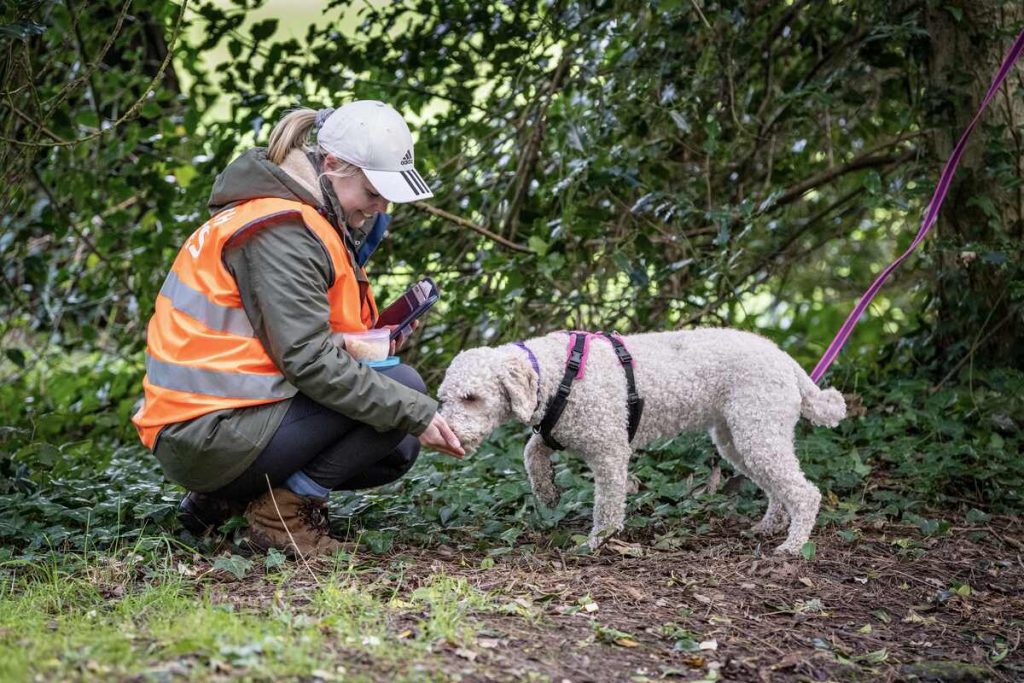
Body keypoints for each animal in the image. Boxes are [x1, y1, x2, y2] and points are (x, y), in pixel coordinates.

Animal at [436, 329, 843, 557]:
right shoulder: (558, 430)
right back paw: (769, 526)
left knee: (805, 493)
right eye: (443, 399)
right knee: (777, 488)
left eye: (471, 397)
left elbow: (608, 505)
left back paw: (792, 545)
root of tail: (786, 360)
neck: (555, 374)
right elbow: (531, 451)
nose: (450, 432)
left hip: (757, 430)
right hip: (740, 439)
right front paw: (547, 491)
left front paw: (598, 541)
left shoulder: (610, 450)